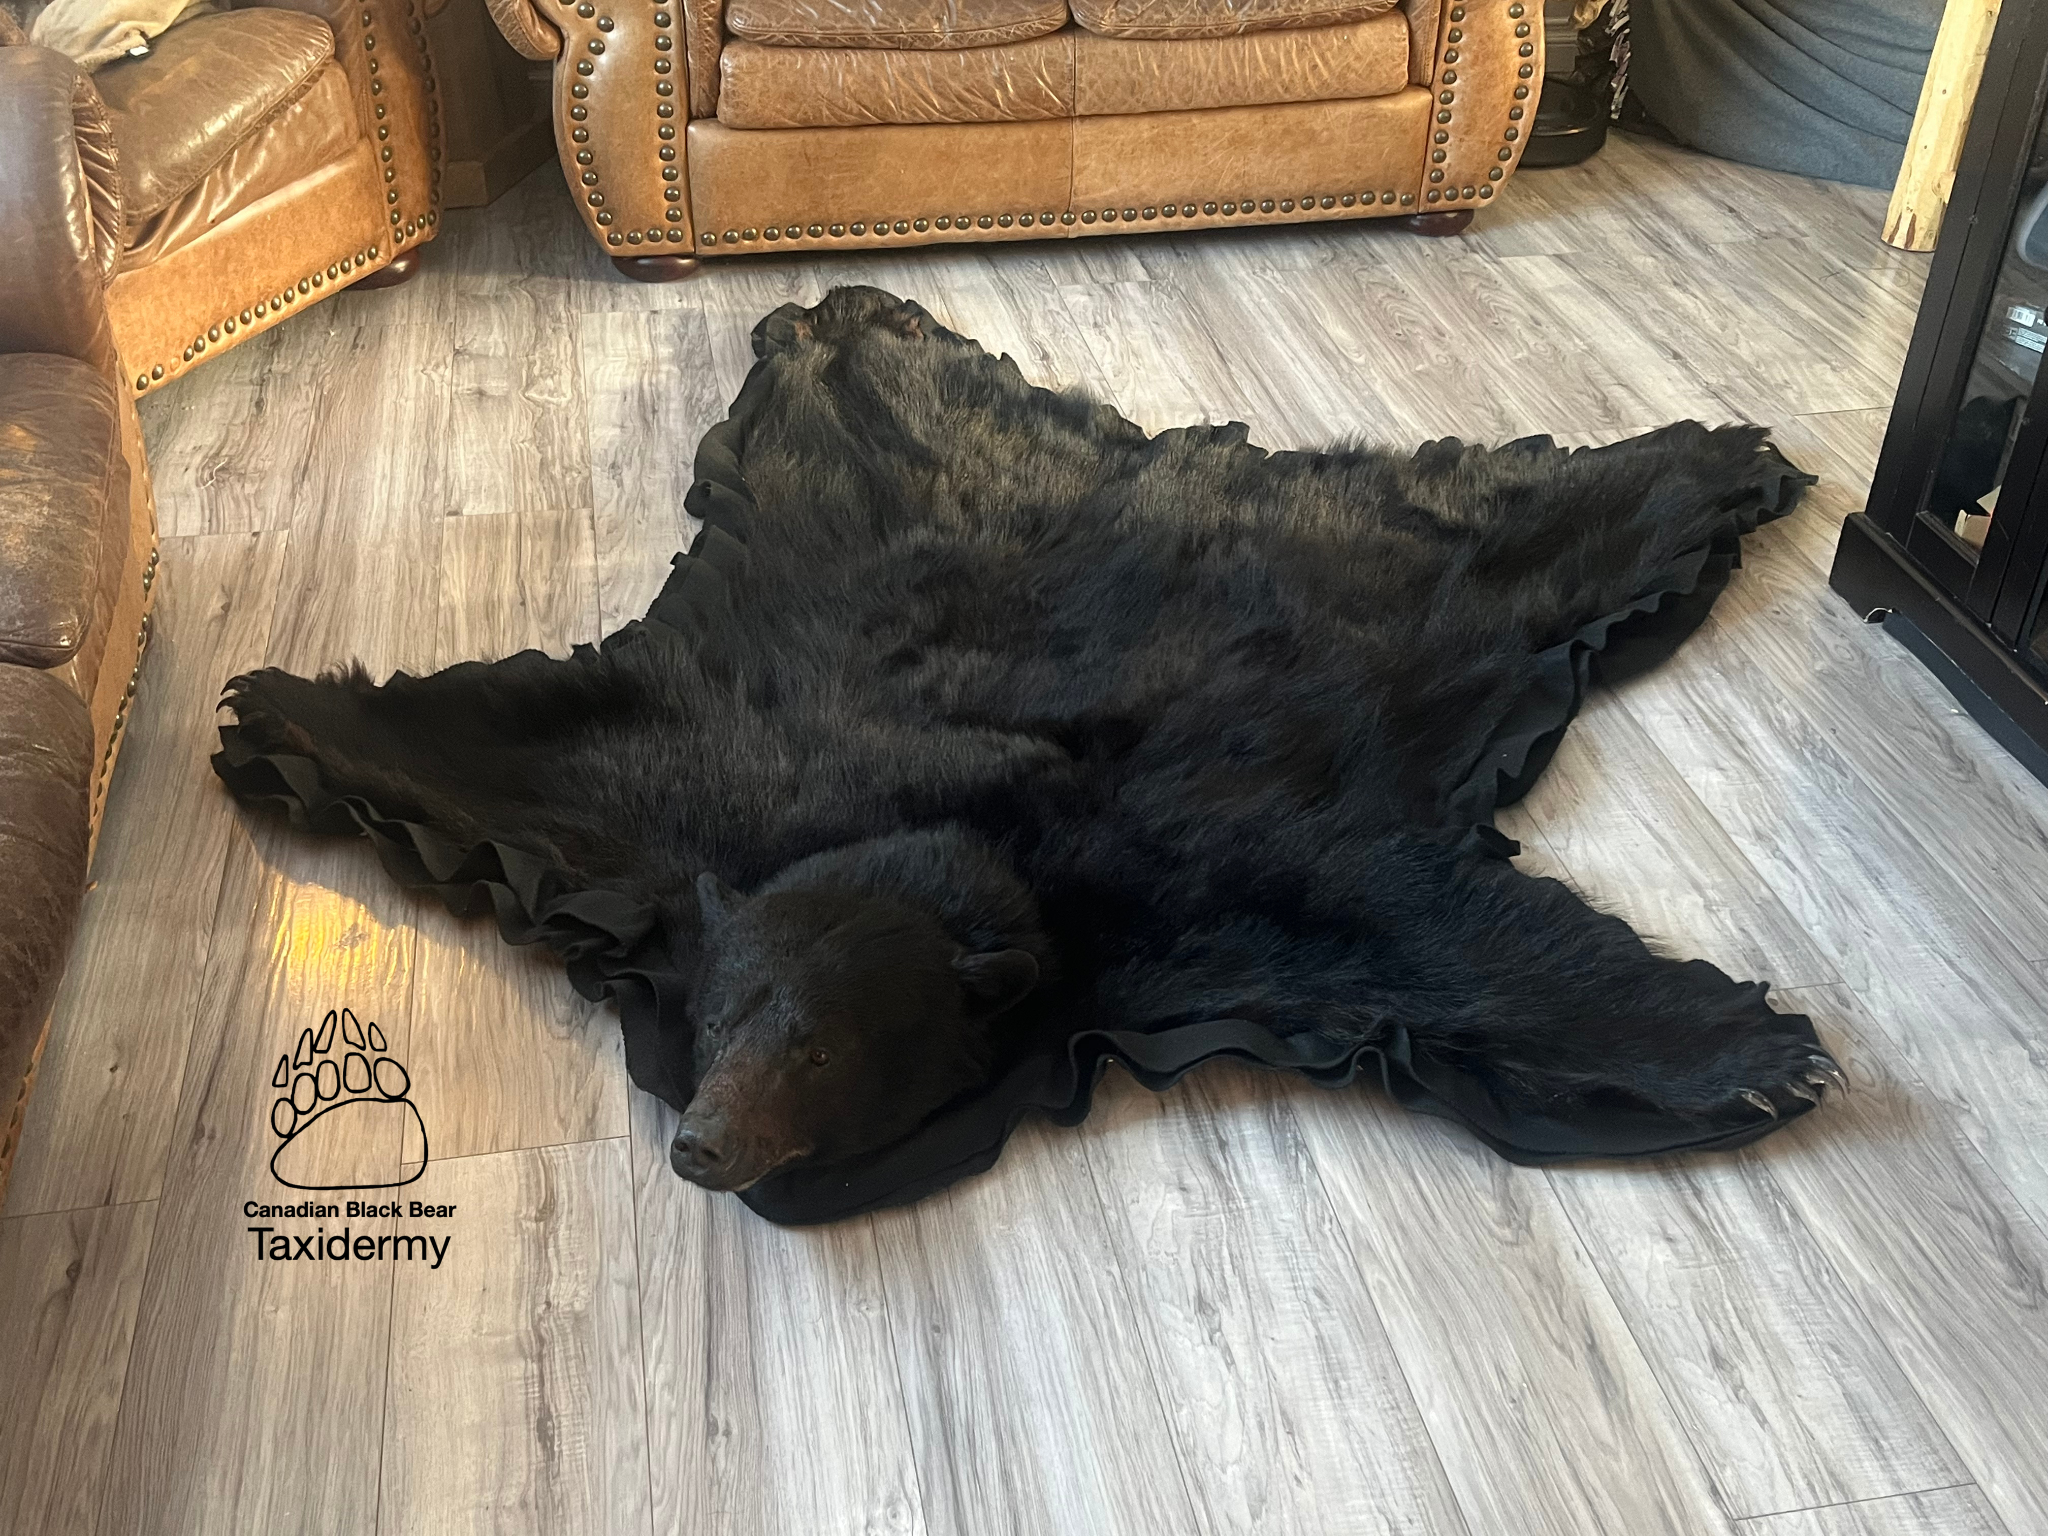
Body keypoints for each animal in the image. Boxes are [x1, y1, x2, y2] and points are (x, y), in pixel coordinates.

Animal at [214, 287, 1843, 1223]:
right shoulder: (697, 789)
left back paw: (1718, 463)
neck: (982, 837)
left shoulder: (1213, 892)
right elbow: (496, 755)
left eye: (821, 1047)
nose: (705, 1147)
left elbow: (1421, 938)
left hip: (1413, 583)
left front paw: (1736, 1053)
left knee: (1525, 538)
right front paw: (284, 718)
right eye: (727, 1019)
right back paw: (833, 319)